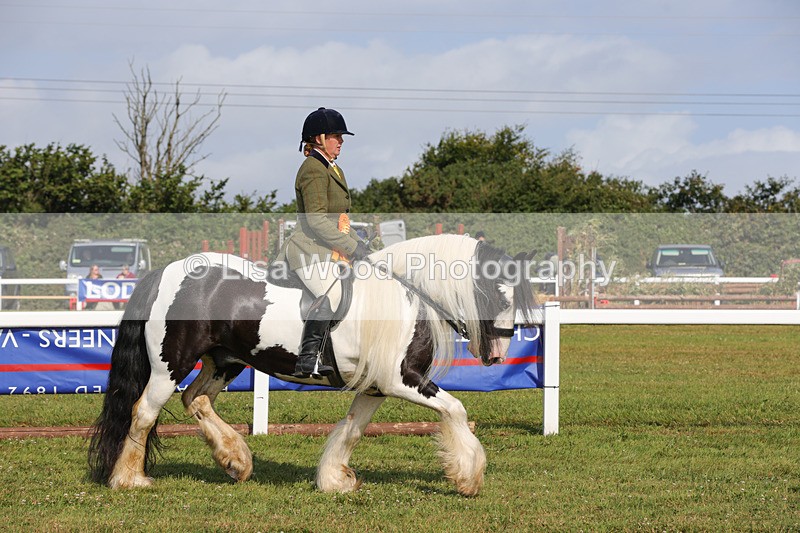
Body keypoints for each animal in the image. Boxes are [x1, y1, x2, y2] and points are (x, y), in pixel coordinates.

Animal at [88, 234, 536, 497]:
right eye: (498, 294)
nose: (498, 354)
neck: (406, 295)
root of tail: (163, 274)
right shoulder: (403, 381)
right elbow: (456, 410)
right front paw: (468, 477)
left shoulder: (375, 387)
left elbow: (352, 430)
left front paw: (334, 479)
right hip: (170, 366)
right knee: (143, 413)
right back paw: (129, 478)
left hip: (225, 361)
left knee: (196, 400)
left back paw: (236, 460)